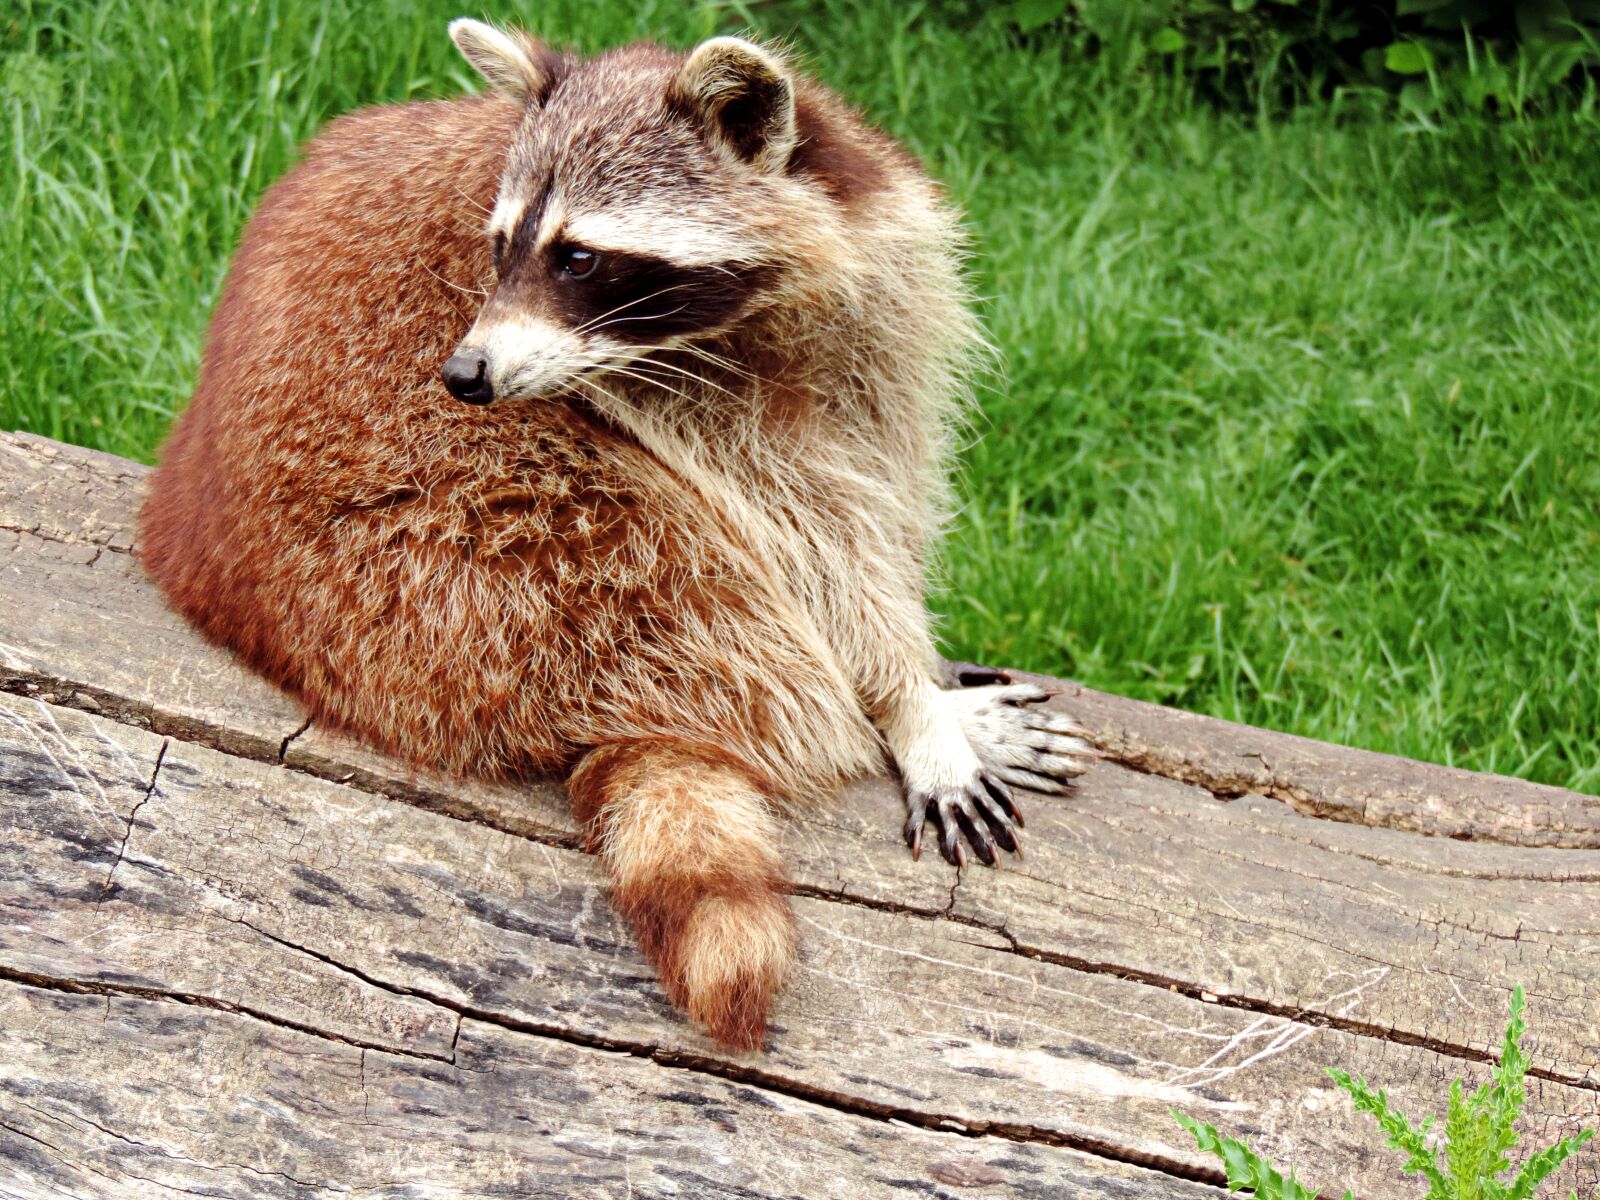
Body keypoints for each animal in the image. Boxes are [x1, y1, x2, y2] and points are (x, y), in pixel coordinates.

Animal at [139, 20, 1096, 1049]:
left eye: (579, 258)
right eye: (501, 245)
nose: (464, 375)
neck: (766, 308)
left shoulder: (874, 312)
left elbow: (880, 476)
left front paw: (925, 692)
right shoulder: (665, 401)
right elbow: (813, 536)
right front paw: (911, 704)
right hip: (496, 555)